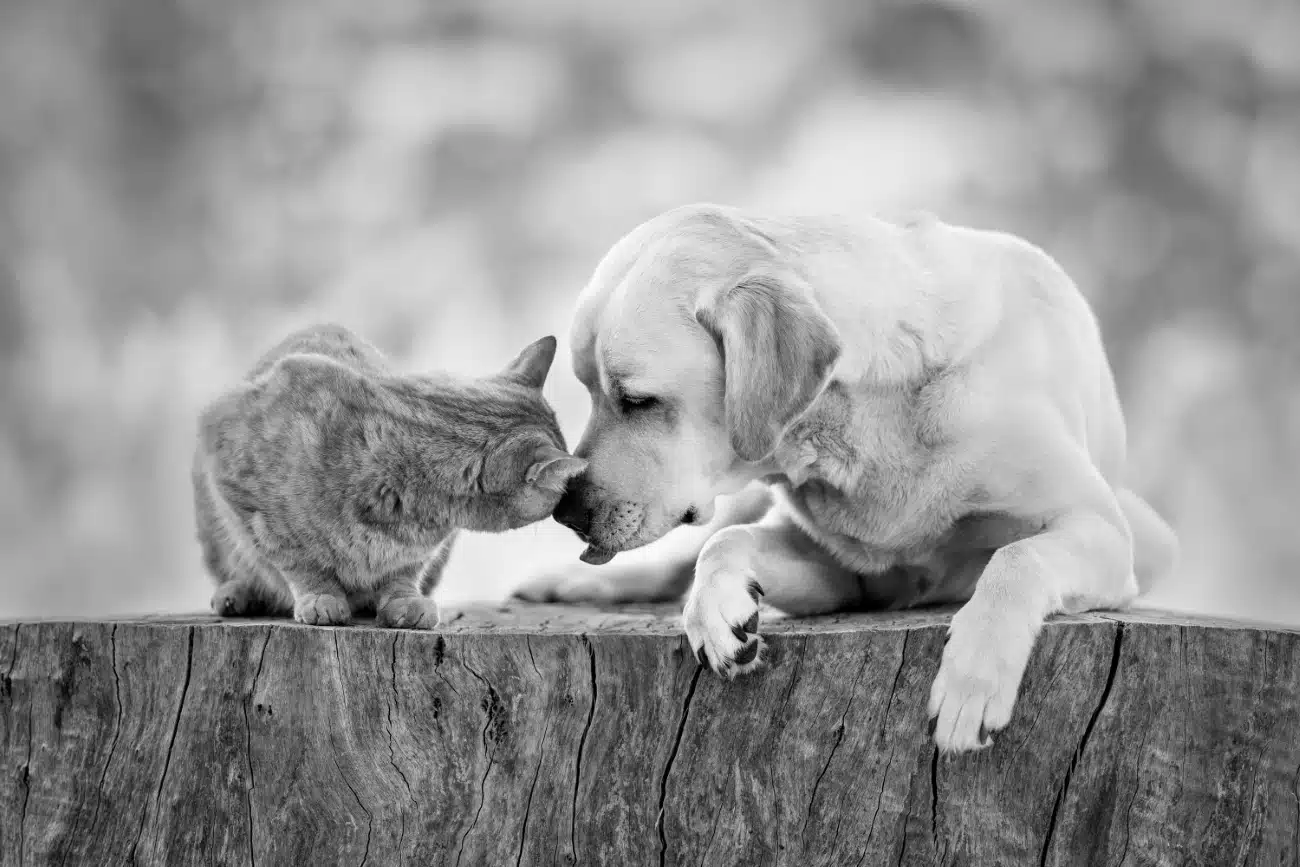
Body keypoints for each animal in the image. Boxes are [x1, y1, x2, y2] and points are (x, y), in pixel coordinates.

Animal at [192, 324, 585, 631]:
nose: (569, 506)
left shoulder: (422, 552)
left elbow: (405, 571)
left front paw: (403, 600)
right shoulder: (232, 469)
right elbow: (293, 558)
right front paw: (320, 595)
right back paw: (236, 593)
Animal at [517, 204, 1180, 753]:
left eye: (637, 401)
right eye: (587, 390)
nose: (565, 509)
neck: (863, 419)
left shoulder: (1108, 531)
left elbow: (1015, 559)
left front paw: (974, 678)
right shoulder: (846, 578)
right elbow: (724, 543)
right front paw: (715, 611)